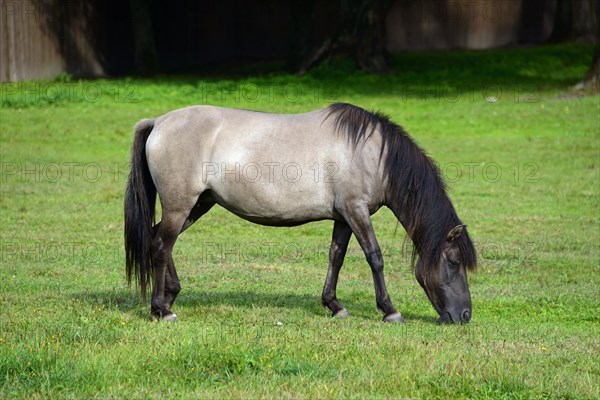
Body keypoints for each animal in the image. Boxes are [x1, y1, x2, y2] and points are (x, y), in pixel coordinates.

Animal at [123, 101, 478, 324]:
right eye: (453, 262)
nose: (464, 316)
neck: (370, 153)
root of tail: (159, 122)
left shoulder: (343, 217)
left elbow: (336, 256)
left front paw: (335, 305)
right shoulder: (356, 210)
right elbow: (374, 257)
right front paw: (390, 310)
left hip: (197, 204)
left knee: (158, 240)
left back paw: (169, 297)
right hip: (180, 206)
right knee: (160, 246)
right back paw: (162, 309)